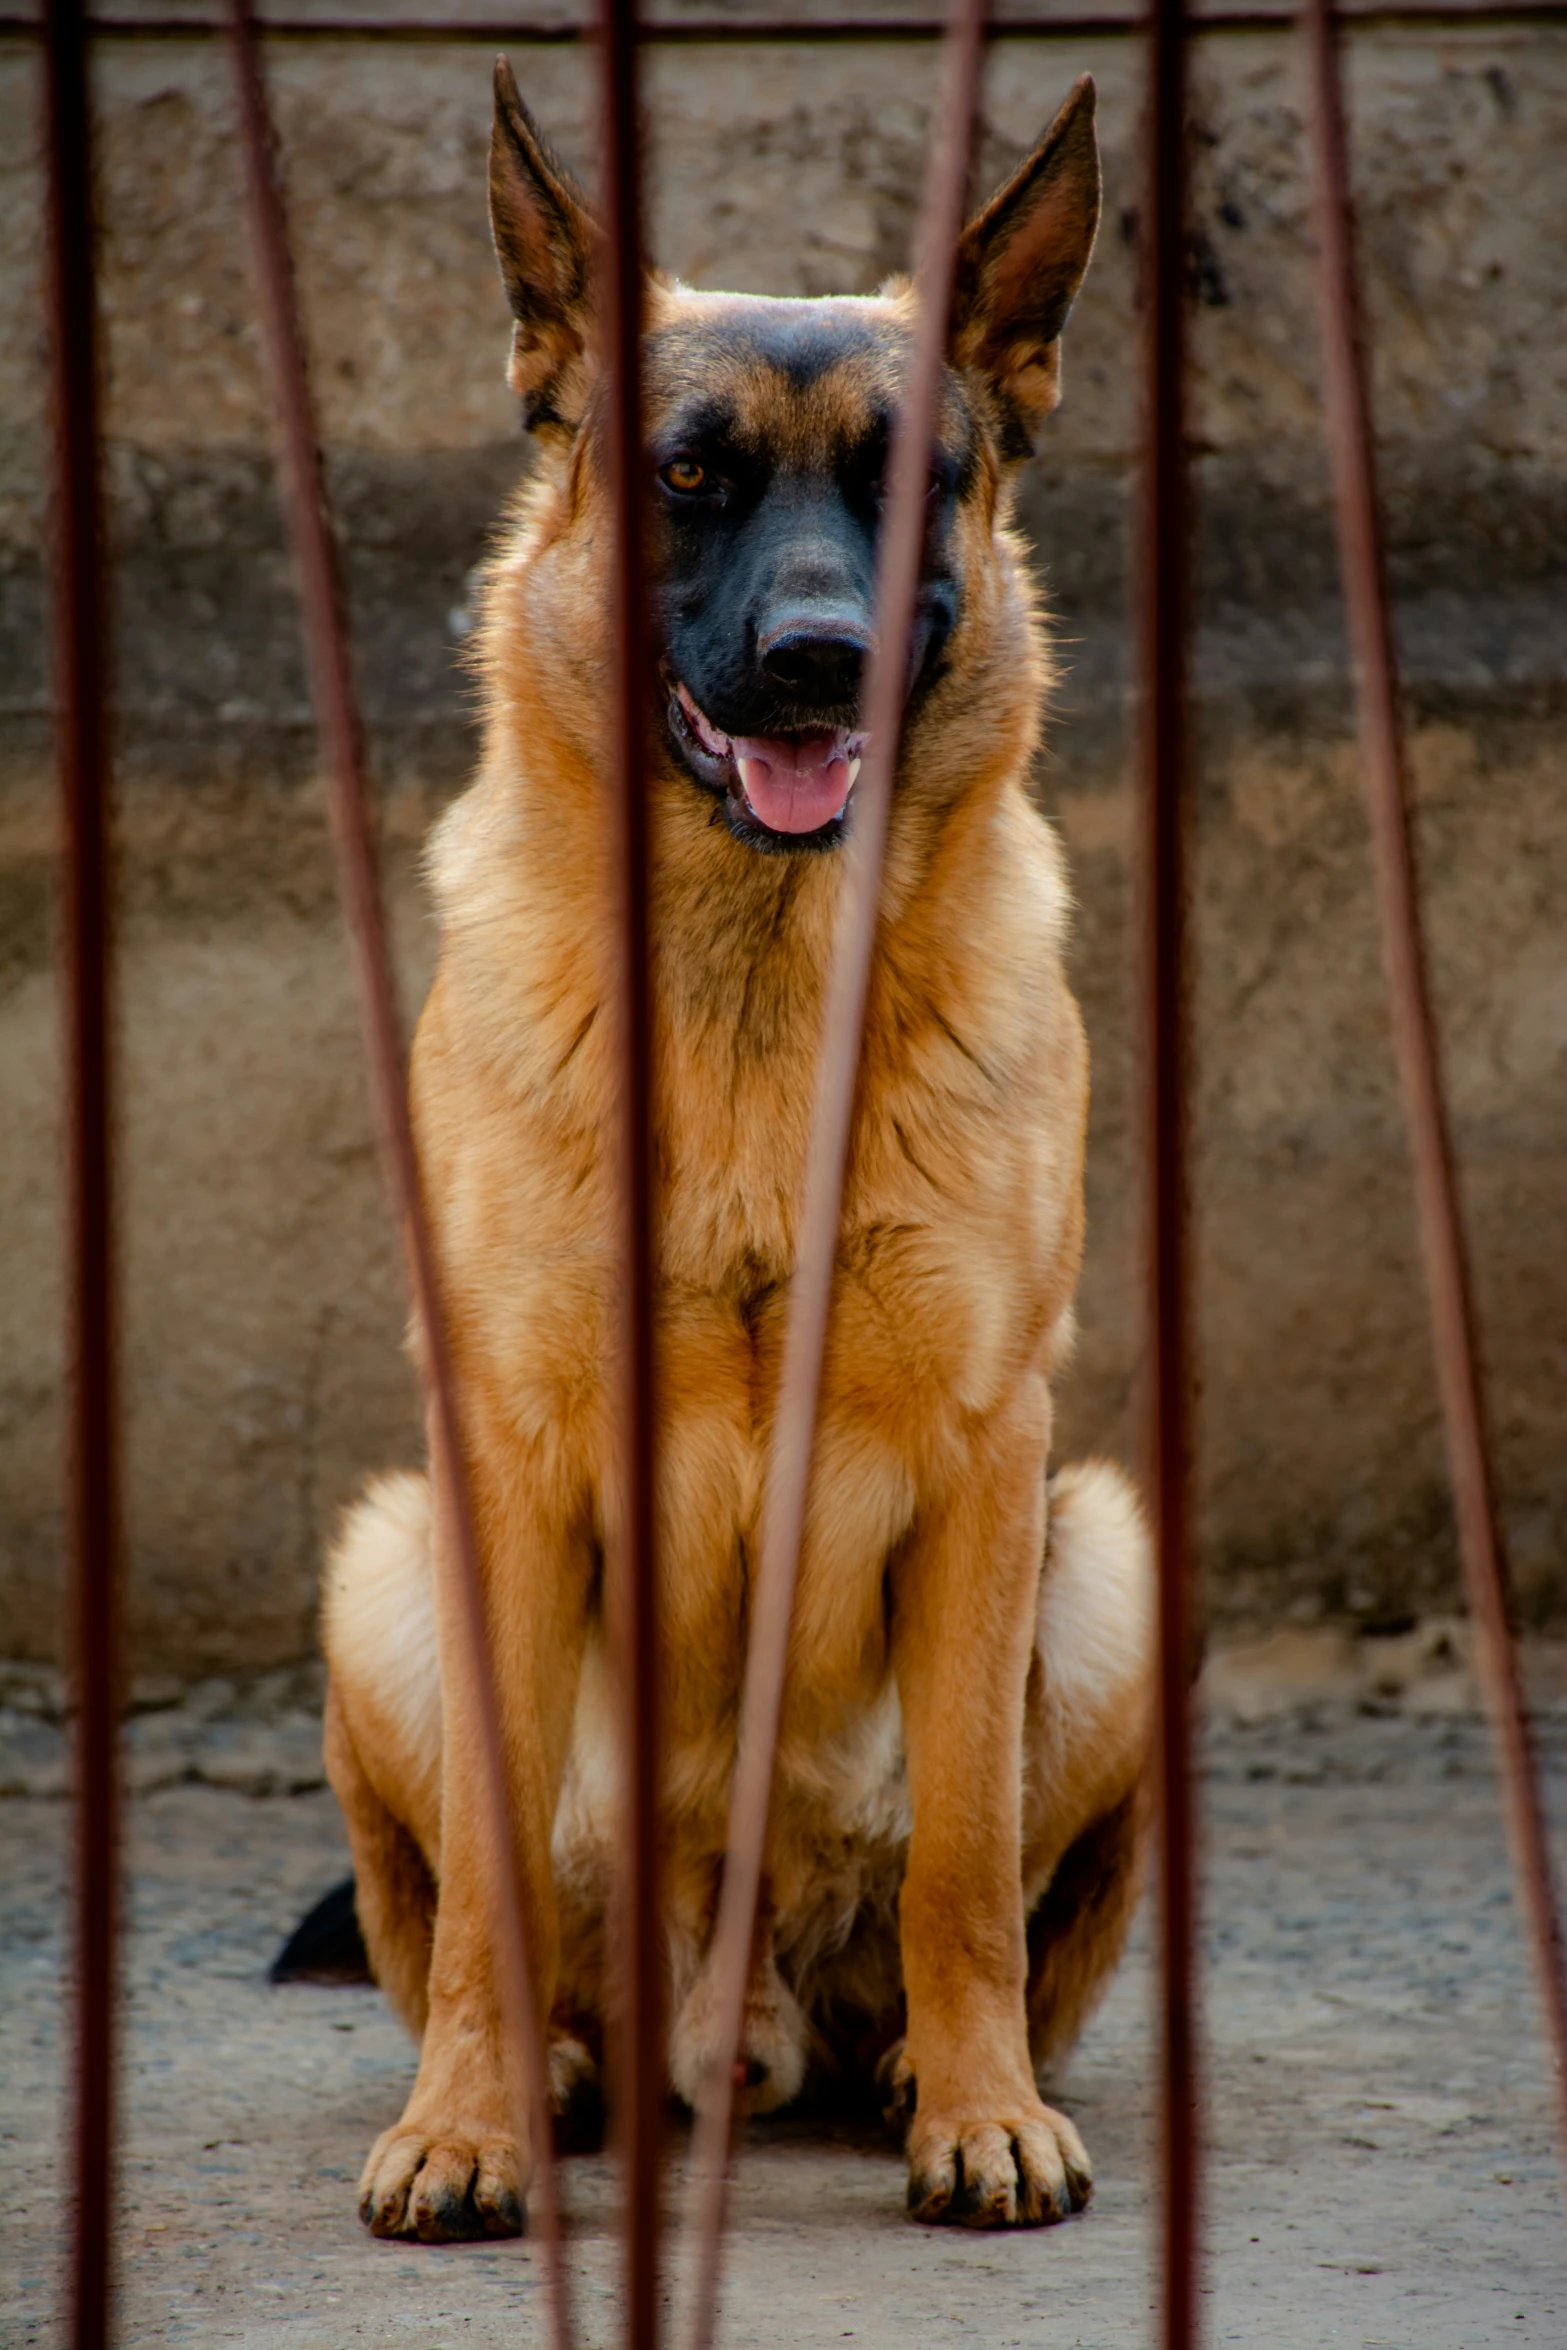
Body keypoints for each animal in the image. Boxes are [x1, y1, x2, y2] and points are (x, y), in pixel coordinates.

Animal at [321, 64, 1151, 2246]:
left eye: (908, 482)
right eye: (688, 478)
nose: (813, 658)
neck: (759, 989)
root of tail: (734, 1993)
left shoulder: (991, 1456)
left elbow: (968, 1857)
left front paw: (983, 2107)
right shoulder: (503, 1458)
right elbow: (485, 1887)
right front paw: (467, 2122)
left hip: (1108, 1560)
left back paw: (921, 2070)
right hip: (387, 1568)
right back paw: (563, 2071)